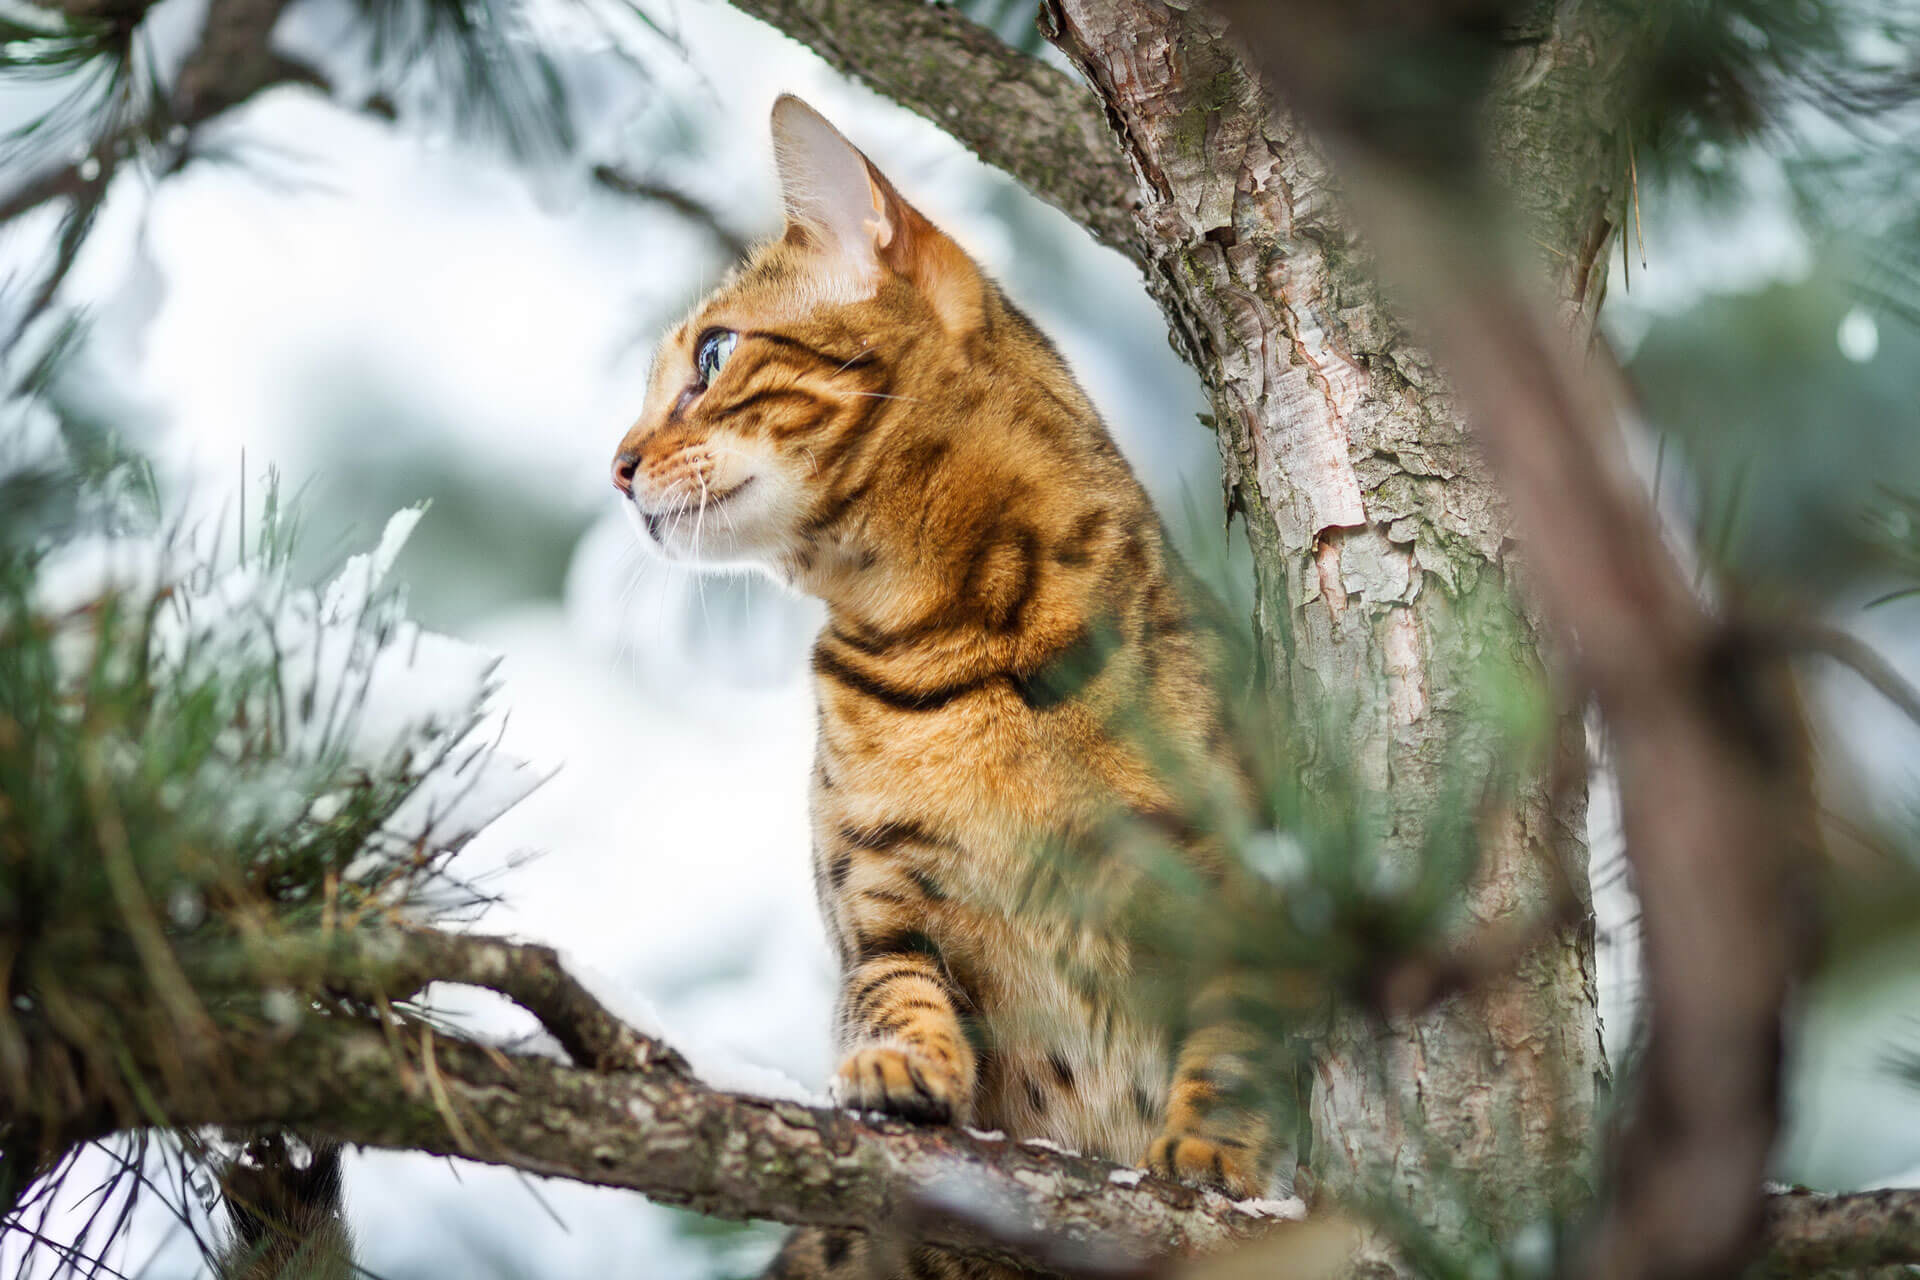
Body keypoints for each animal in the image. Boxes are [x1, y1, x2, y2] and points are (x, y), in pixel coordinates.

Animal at [610, 94, 1274, 1274]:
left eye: (714, 353)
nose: (617, 463)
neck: (960, 642)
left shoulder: (1243, 884)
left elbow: (1241, 1037)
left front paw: (1215, 1146)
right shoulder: (874, 899)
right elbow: (889, 988)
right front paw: (896, 1064)